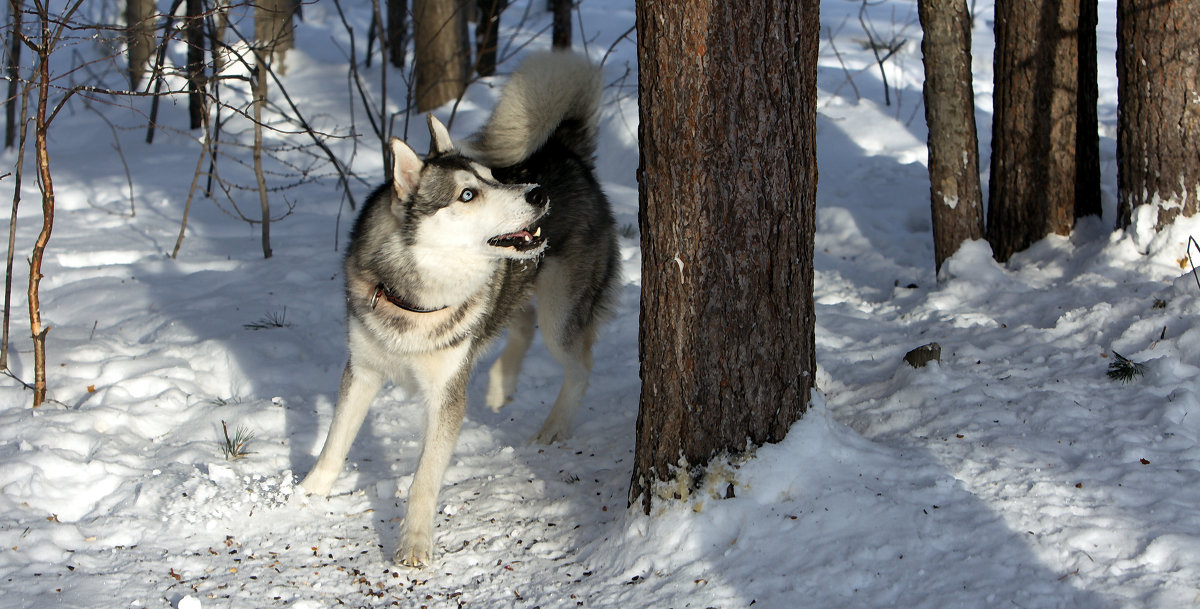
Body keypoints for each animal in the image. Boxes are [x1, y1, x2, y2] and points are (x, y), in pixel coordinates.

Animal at [298, 51, 619, 565]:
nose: (536, 193)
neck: (413, 297)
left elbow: (424, 481)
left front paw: (414, 543)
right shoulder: (362, 370)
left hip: (560, 314)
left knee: (578, 363)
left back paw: (553, 427)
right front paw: (306, 494)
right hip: (523, 287)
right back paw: (500, 387)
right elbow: (334, 442)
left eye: (492, 178)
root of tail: (564, 152)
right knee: (518, 325)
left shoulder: (446, 394)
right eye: (468, 194)